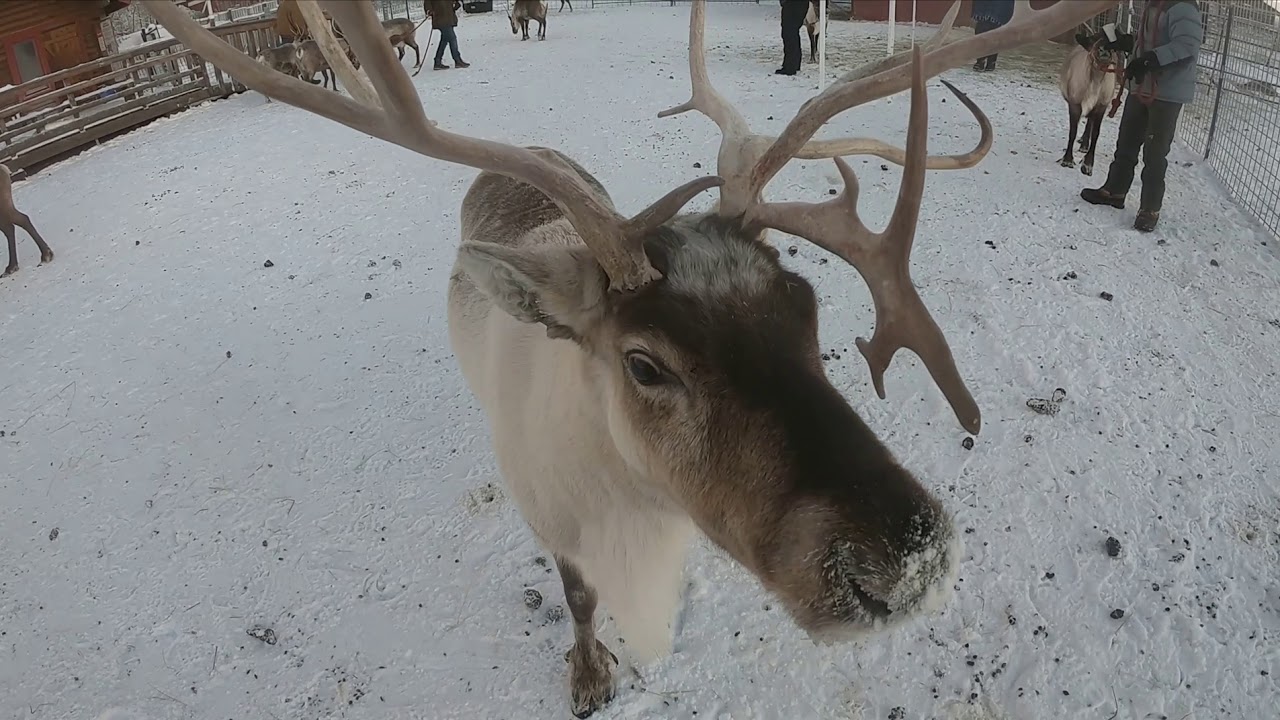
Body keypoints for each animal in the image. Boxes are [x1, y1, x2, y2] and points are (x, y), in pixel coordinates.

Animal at [139, 1, 1122, 716]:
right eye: (645, 365)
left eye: (806, 305)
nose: (906, 560)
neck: (628, 497)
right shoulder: (553, 524)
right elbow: (579, 605)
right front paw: (590, 676)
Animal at [1058, 23, 1133, 175]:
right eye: (1092, 39)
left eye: (1113, 41)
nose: (1103, 49)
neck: (1095, 83)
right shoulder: (1075, 103)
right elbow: (1072, 132)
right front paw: (1067, 159)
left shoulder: (1101, 106)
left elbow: (1096, 134)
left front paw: (1088, 164)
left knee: (1089, 123)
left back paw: (1084, 144)